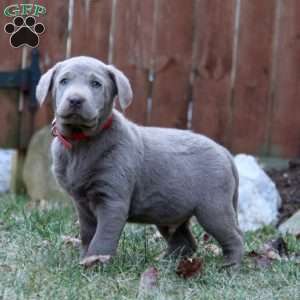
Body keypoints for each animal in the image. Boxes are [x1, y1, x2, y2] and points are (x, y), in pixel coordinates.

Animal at [36, 56, 245, 268]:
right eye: (63, 81)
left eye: (96, 84)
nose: (76, 100)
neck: (81, 143)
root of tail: (225, 152)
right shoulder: (82, 203)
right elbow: (88, 234)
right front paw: (85, 259)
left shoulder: (112, 200)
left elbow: (103, 236)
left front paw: (97, 262)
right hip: (171, 210)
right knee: (185, 242)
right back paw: (166, 262)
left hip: (213, 207)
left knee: (234, 237)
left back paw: (231, 265)